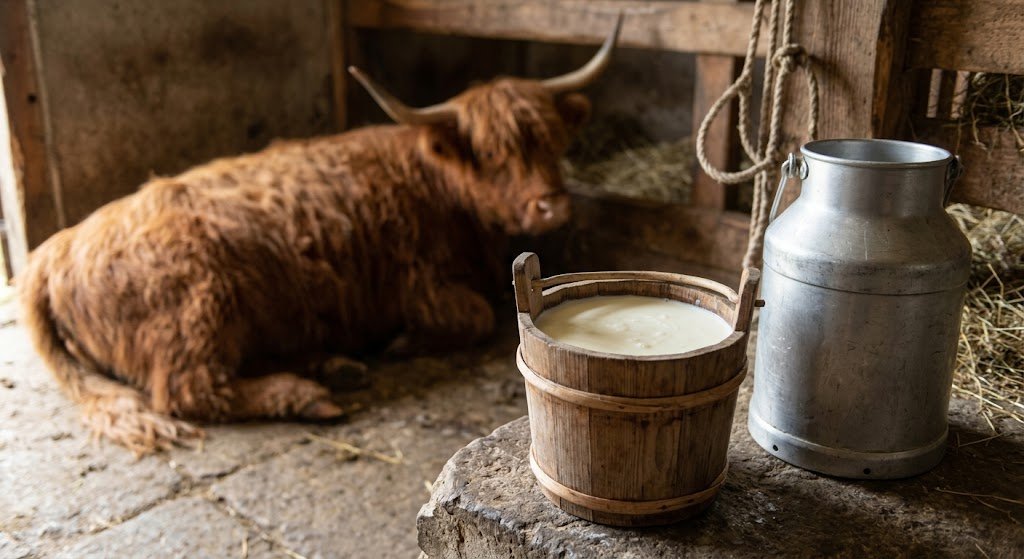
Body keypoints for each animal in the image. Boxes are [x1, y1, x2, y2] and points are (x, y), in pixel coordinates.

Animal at [18, 19, 621, 454]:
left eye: (552, 140)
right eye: (493, 154)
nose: (551, 205)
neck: (438, 187)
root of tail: (52, 251)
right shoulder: (421, 284)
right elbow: (474, 316)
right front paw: (405, 342)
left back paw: (331, 366)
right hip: (197, 307)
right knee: (191, 389)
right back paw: (305, 392)